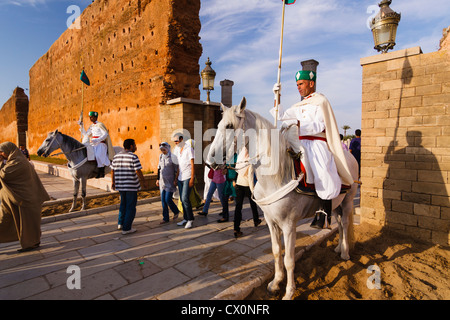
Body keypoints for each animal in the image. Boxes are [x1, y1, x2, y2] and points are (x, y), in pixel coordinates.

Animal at [207, 97, 358, 300]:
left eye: (230, 126)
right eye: (219, 125)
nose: (211, 161)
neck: (277, 176)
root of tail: (348, 157)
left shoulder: (289, 225)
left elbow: (289, 260)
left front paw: (289, 292)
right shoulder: (271, 221)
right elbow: (276, 251)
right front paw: (275, 283)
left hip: (348, 201)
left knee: (347, 223)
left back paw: (346, 253)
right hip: (335, 204)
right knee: (341, 224)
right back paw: (339, 249)